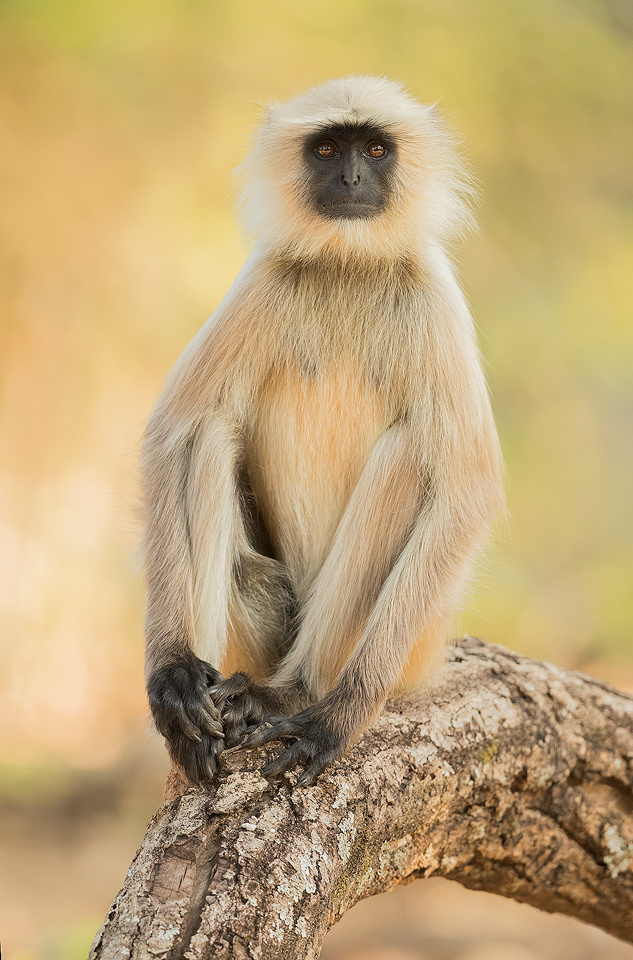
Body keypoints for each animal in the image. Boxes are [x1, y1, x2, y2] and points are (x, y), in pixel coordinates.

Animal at [142, 77, 504, 788]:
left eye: (375, 148)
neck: (349, 267)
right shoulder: (265, 279)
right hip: (262, 624)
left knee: (408, 457)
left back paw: (300, 694)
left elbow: (466, 492)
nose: (354, 177)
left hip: (416, 645)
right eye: (329, 148)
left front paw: (339, 717)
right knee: (210, 437)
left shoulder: (433, 296)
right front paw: (172, 676)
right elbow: (173, 436)